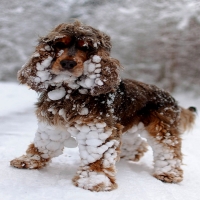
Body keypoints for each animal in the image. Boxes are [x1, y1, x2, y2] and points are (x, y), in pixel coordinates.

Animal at [10, 21, 196, 191]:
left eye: (85, 48)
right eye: (60, 44)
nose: (68, 63)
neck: (70, 91)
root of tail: (170, 96)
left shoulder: (97, 129)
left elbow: (97, 156)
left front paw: (93, 181)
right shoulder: (52, 124)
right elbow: (43, 144)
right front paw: (29, 161)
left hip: (162, 129)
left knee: (169, 150)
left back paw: (168, 174)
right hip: (127, 125)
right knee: (137, 143)